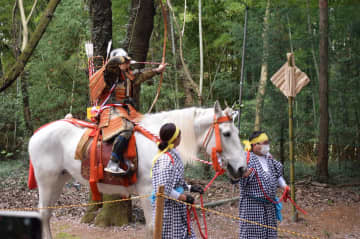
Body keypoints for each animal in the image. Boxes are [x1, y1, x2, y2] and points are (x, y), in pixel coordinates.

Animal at [28, 102, 248, 238]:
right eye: (227, 134)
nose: (241, 167)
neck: (159, 142)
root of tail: (38, 133)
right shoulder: (148, 191)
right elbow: (153, 228)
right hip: (47, 181)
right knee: (43, 214)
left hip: (59, 180)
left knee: (47, 214)